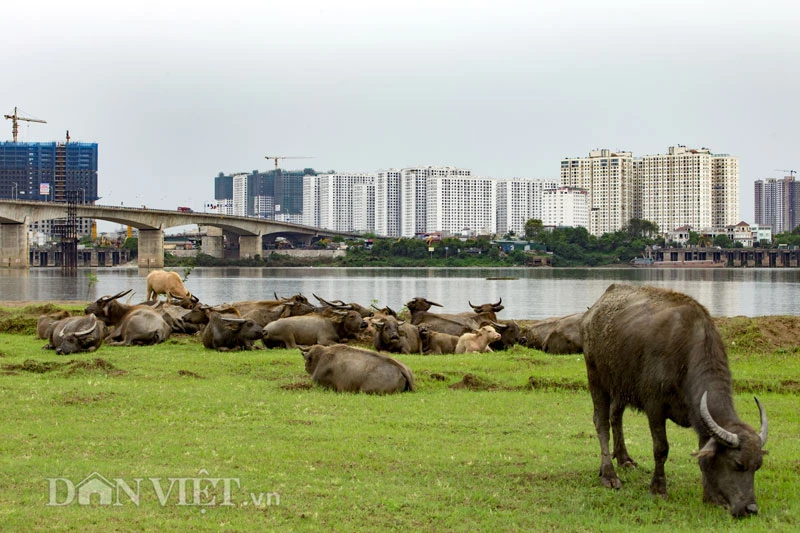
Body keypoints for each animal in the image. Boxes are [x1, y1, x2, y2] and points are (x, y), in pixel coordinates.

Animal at [580, 282, 764, 516]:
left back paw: (624, 459)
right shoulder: (654, 407)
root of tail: (593, 311)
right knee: (601, 422)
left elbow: (703, 453)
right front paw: (658, 489)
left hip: (621, 385)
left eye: (757, 465)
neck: (686, 355)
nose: (751, 508)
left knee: (616, 417)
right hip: (596, 377)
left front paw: (711, 497)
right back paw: (609, 475)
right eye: (738, 464)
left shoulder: (699, 415)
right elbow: (661, 448)